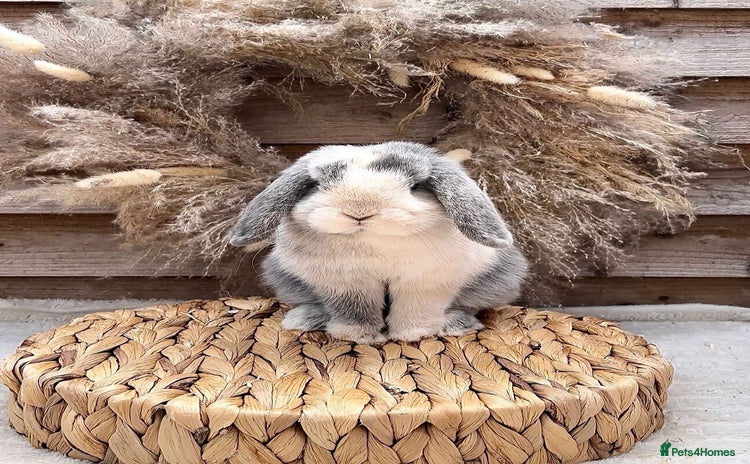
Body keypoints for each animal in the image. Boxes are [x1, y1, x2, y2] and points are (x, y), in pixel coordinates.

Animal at [229, 141, 528, 343]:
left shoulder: (425, 282)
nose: (359, 212)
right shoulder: (347, 283)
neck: (375, 243)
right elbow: (355, 311)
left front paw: (411, 335)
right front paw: (358, 336)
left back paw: (456, 324)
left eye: (415, 187)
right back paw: (304, 319)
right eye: (317, 185)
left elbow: (416, 308)